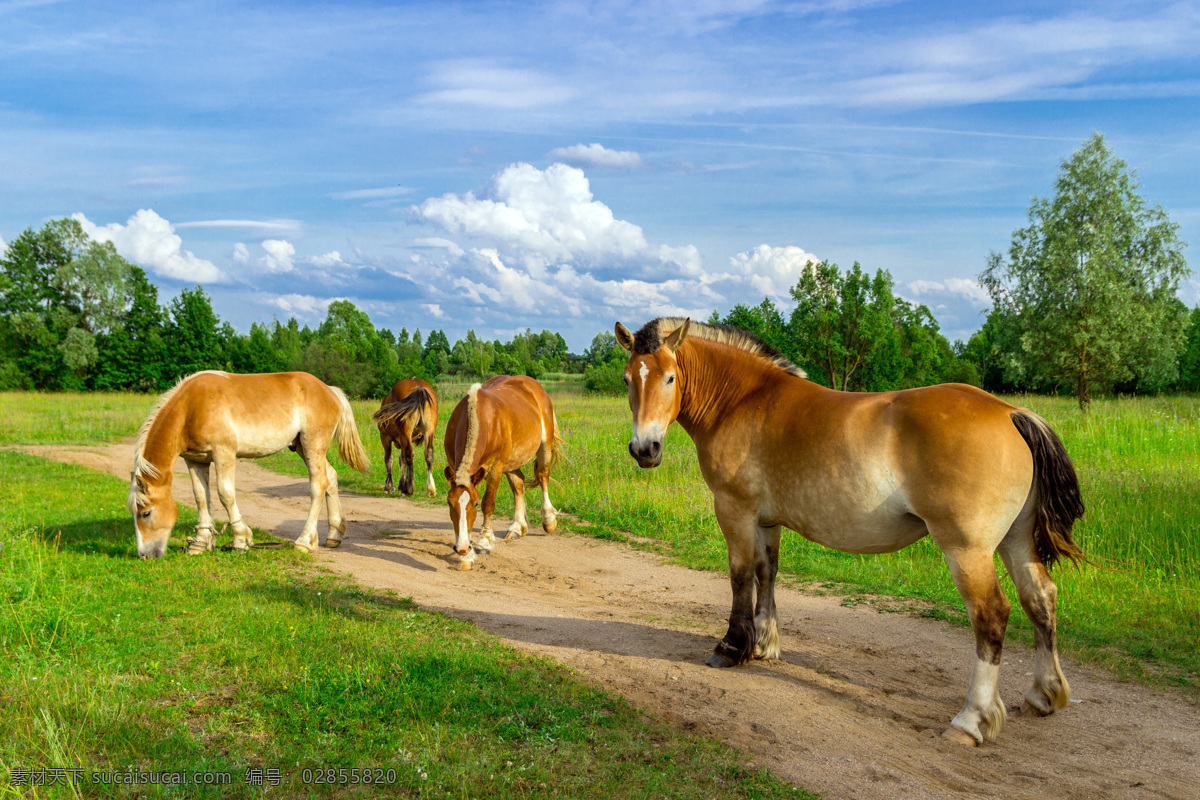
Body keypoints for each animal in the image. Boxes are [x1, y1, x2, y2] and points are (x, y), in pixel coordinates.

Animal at [126, 371, 369, 561]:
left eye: (146, 513)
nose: (145, 555)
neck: (190, 408)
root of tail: (329, 390)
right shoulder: (196, 460)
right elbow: (201, 497)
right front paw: (200, 544)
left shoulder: (224, 453)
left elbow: (225, 494)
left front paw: (241, 540)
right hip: (302, 447)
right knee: (331, 477)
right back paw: (334, 535)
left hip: (313, 445)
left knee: (318, 486)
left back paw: (304, 542)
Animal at [441, 376, 561, 568]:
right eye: (449, 502)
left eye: (475, 504)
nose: (461, 548)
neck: (481, 420)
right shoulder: (456, 465)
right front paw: (466, 555)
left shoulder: (495, 468)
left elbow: (488, 504)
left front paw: (483, 542)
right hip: (512, 460)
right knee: (518, 484)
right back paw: (517, 527)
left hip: (545, 444)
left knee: (543, 476)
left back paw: (548, 520)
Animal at [619, 316, 1089, 748]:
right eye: (627, 379)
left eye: (669, 377)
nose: (644, 449)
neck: (744, 399)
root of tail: (1010, 412)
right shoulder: (767, 521)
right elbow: (766, 574)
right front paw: (764, 645)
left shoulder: (735, 510)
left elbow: (739, 576)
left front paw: (731, 648)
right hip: (1016, 540)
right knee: (1040, 599)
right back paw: (1043, 694)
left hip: (967, 551)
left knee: (991, 616)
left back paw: (971, 720)